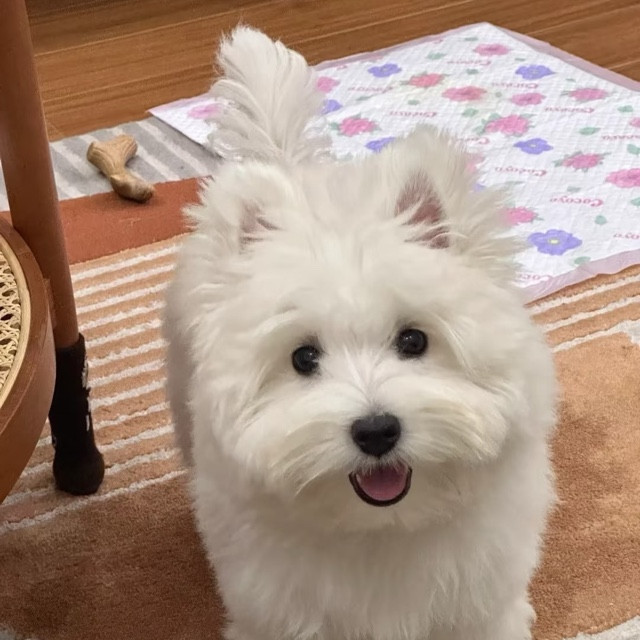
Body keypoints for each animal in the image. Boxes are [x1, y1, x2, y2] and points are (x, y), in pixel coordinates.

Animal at [164, 26, 557, 640]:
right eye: (303, 358)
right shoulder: (278, 612)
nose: (376, 430)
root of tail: (290, 165)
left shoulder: (479, 602)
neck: (382, 527)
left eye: (414, 341)